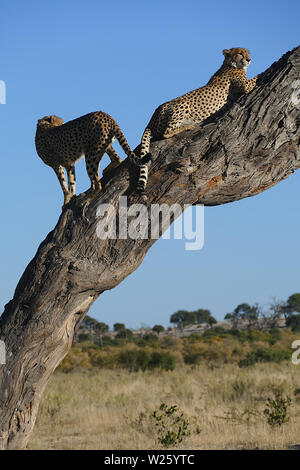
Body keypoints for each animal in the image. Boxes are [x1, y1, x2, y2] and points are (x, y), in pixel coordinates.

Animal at [137, 47, 258, 193]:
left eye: (248, 53)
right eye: (240, 53)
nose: (249, 59)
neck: (230, 64)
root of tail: (151, 119)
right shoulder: (245, 86)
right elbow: (256, 77)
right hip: (182, 104)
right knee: (166, 132)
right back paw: (188, 126)